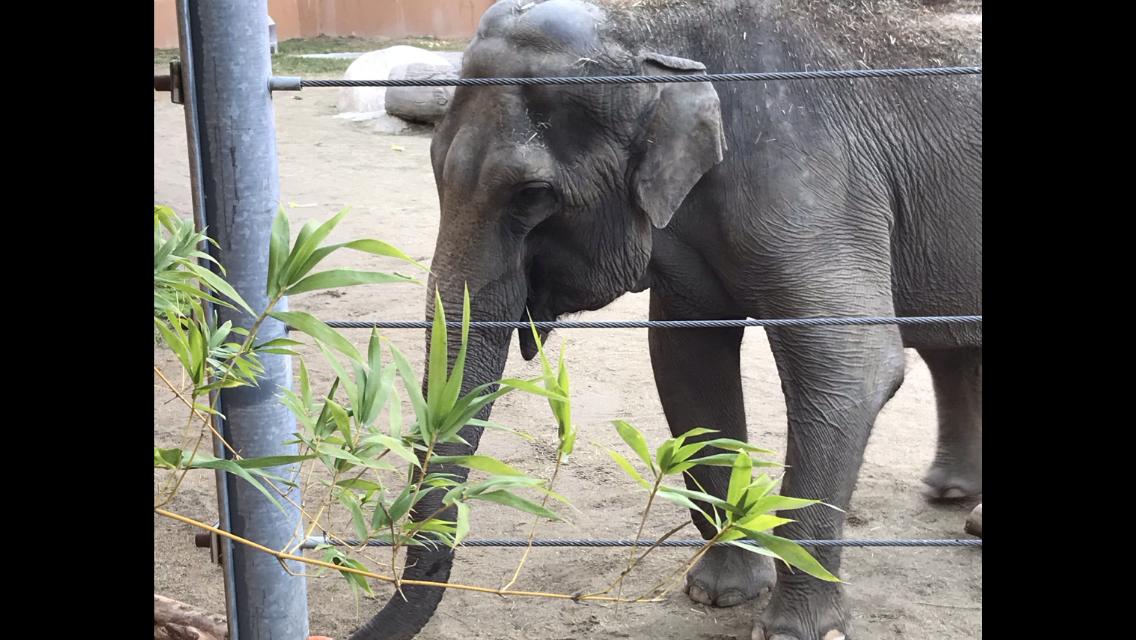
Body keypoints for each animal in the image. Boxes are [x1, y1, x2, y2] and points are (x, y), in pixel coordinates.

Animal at [349, 1, 981, 639]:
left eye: (531, 194)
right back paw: (956, 499)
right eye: (433, 164)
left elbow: (851, 364)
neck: (644, 30)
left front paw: (794, 631)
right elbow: (687, 364)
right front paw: (719, 593)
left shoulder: (811, 177)